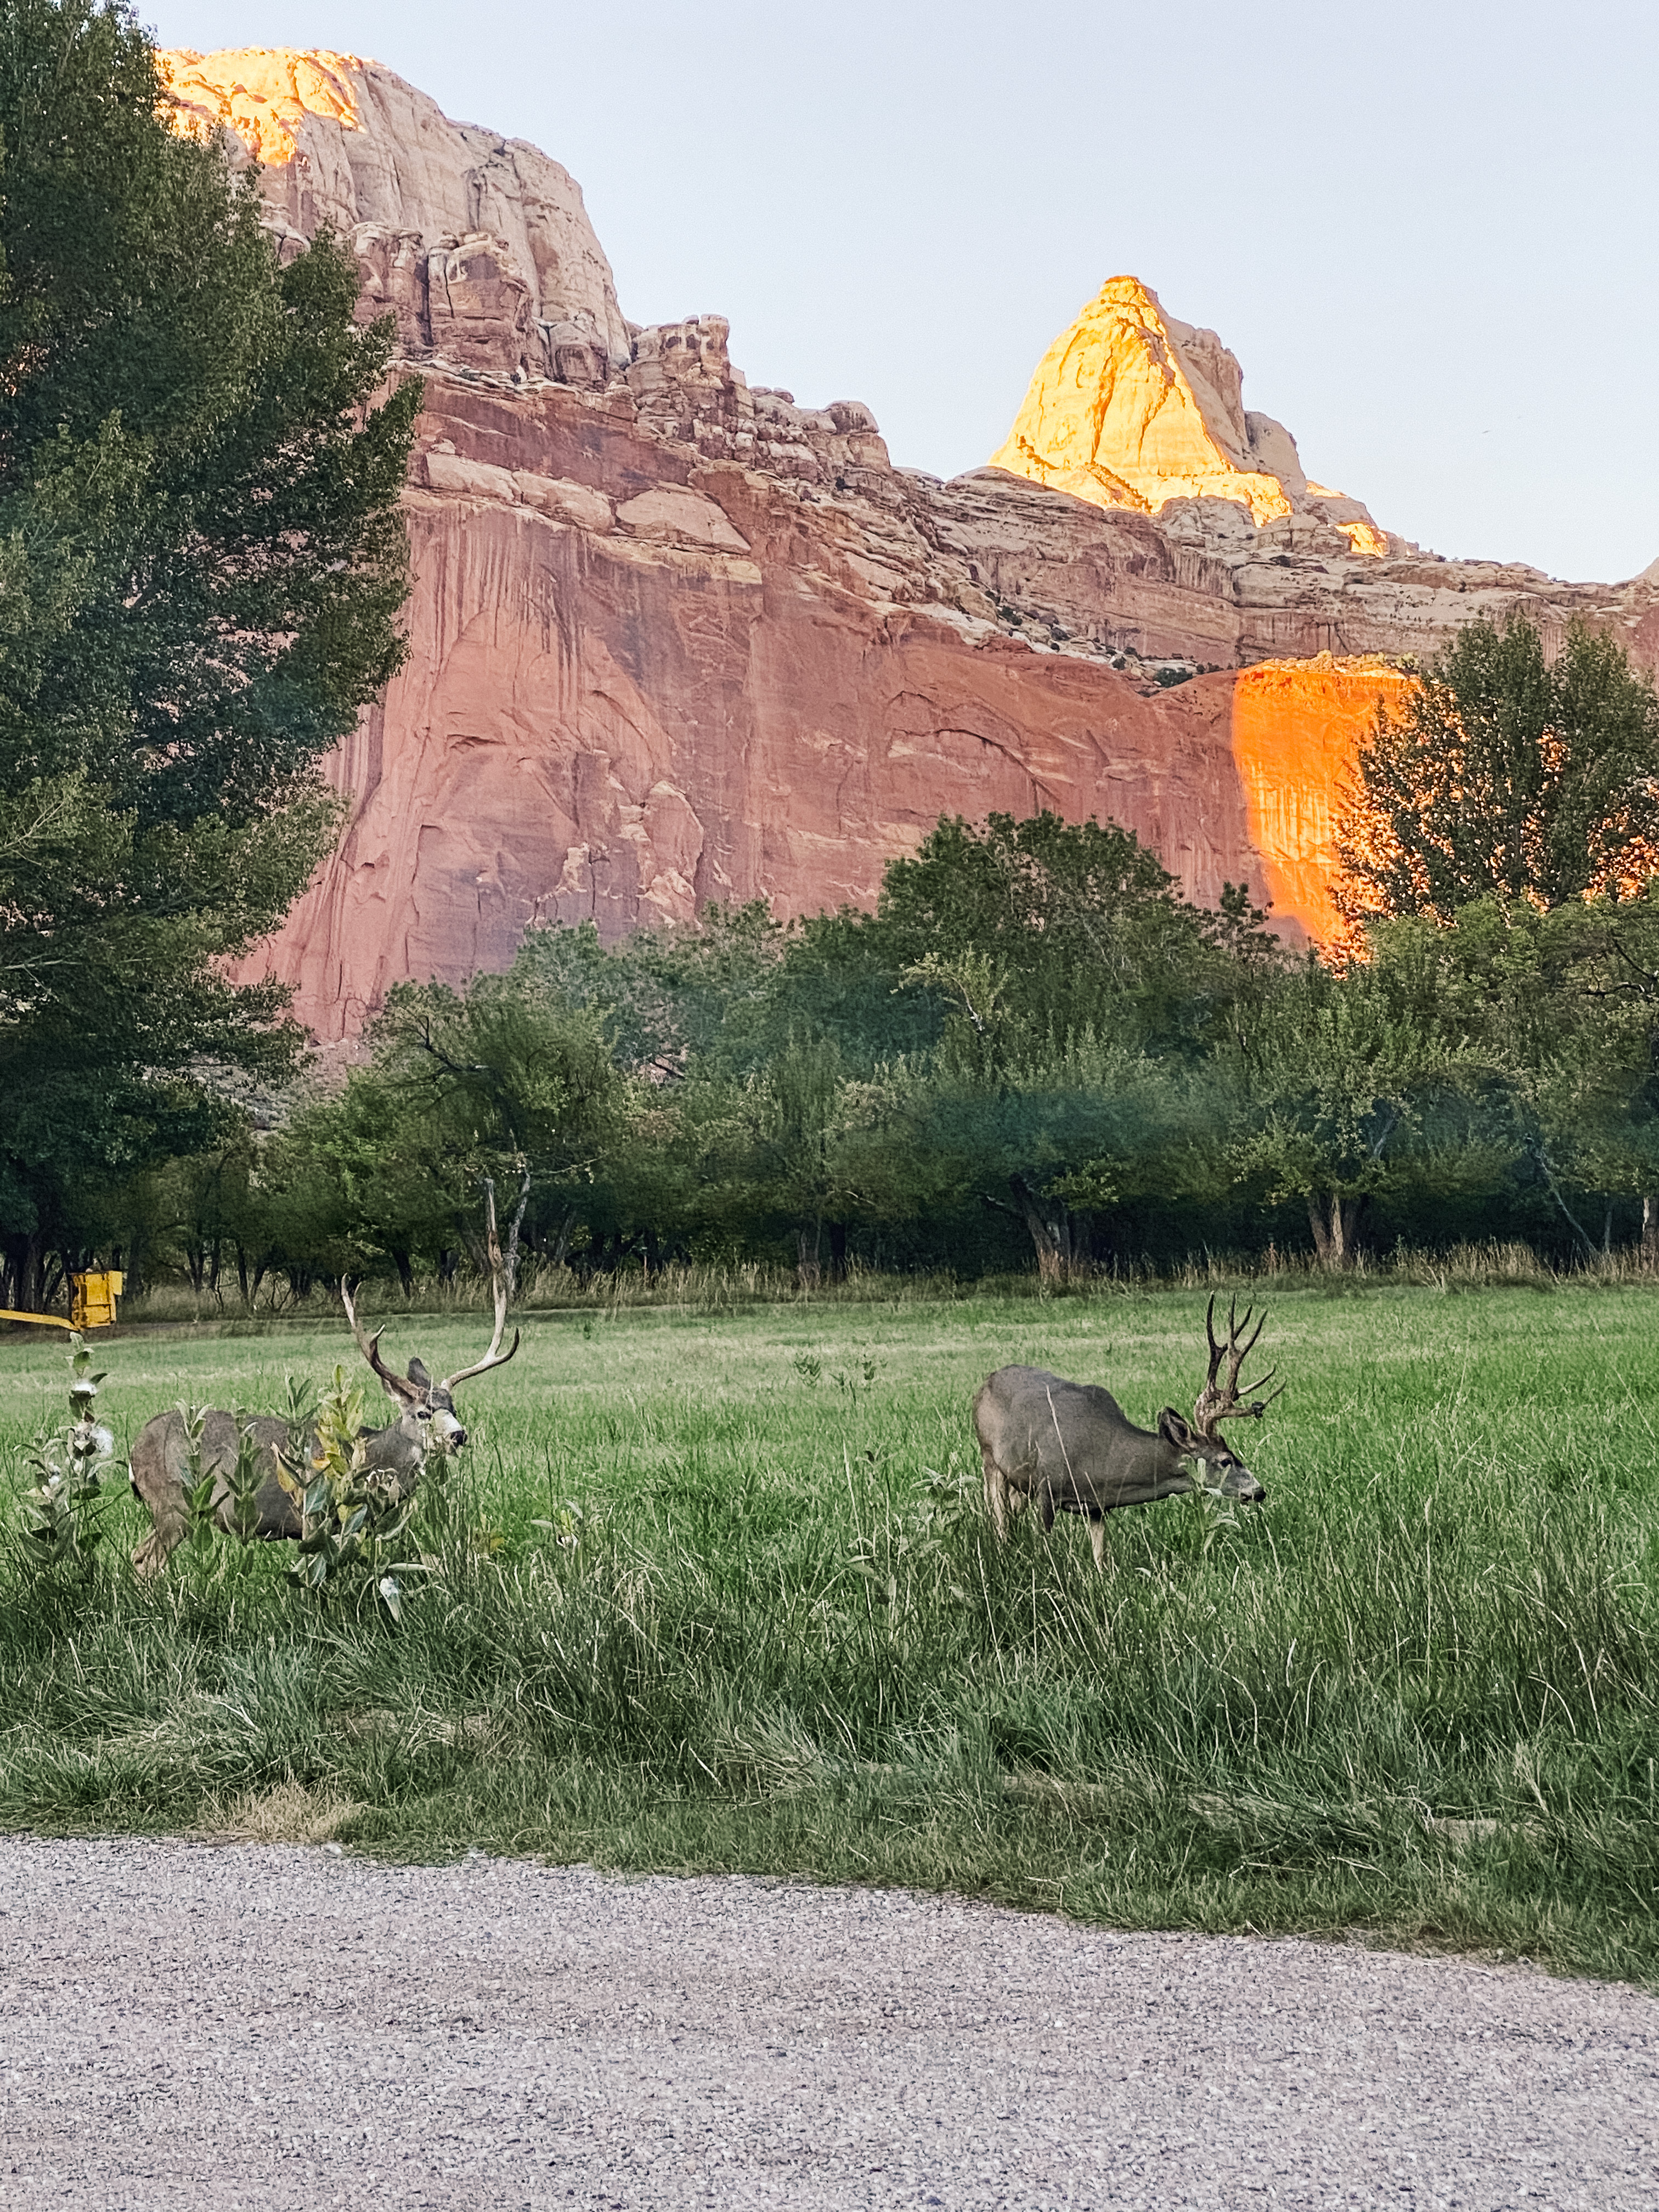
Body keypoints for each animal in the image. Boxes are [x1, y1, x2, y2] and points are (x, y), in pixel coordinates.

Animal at [127, 1191, 521, 1579]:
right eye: (422, 1413)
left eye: (453, 1408)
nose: (459, 1435)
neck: (369, 1460)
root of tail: (134, 1449)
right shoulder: (312, 1515)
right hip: (173, 1503)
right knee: (145, 1559)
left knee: (139, 1555)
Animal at [973, 1295, 1281, 1569]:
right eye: (1226, 1460)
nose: (1259, 1491)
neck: (1101, 1457)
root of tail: (986, 1381)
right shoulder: (1045, 1487)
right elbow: (1042, 1548)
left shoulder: (1096, 1508)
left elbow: (1102, 1560)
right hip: (989, 1456)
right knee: (998, 1516)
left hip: (1019, 1479)